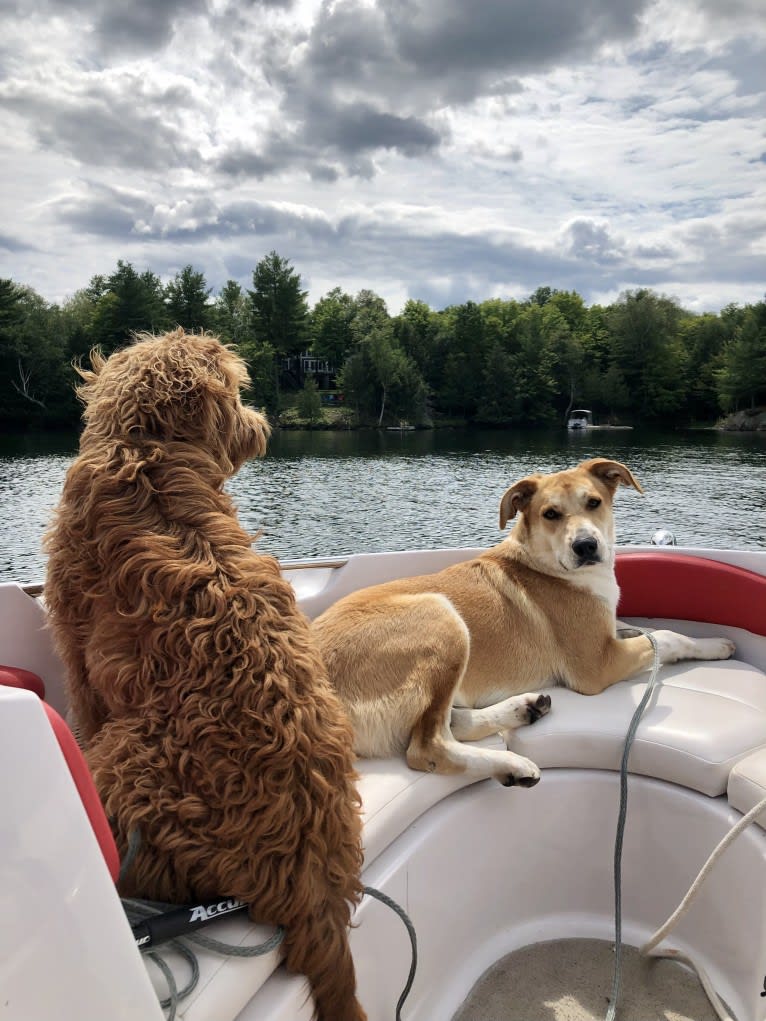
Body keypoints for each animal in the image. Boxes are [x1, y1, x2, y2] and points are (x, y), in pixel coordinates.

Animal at [45, 330, 369, 1016]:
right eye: (240, 392)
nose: (262, 422)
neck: (151, 452)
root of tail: (314, 885)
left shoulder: (75, 648)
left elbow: (83, 704)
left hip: (124, 767)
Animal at [316, 461, 739, 788]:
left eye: (594, 502)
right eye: (550, 514)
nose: (586, 546)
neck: (546, 563)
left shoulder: (607, 635)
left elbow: (642, 631)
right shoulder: (598, 667)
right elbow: (666, 637)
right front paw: (716, 645)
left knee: (451, 722)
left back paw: (524, 709)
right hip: (442, 618)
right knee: (427, 747)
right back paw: (513, 764)